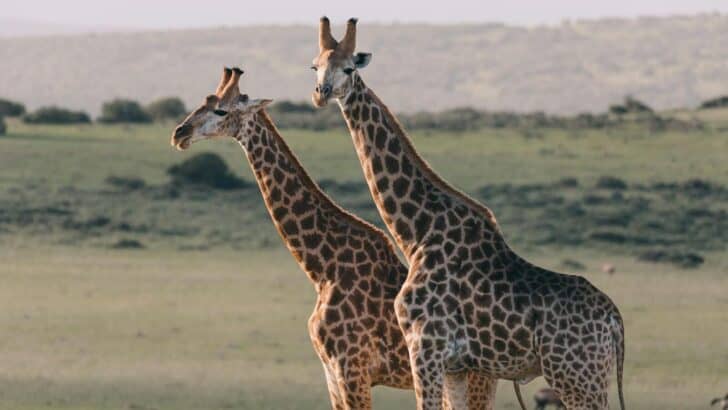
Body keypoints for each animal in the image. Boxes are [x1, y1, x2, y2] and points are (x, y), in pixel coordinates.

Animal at [169, 67, 499, 410]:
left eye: (221, 110)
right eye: (204, 101)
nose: (179, 133)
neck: (323, 268)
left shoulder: (351, 369)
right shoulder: (331, 373)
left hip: (474, 378)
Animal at [309, 17, 627, 410]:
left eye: (349, 68)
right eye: (315, 65)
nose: (321, 93)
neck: (417, 234)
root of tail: (614, 320)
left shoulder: (425, 348)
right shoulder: (457, 366)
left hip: (576, 378)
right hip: (588, 378)